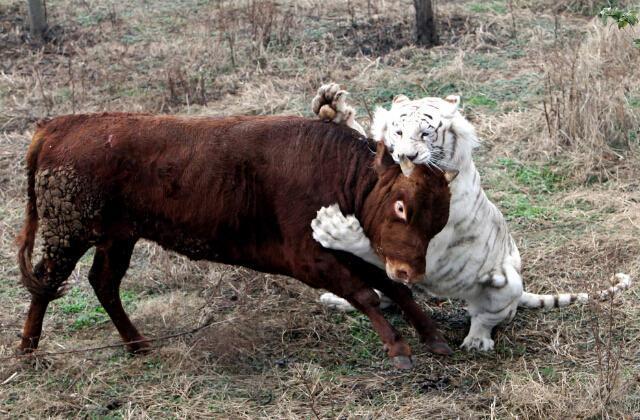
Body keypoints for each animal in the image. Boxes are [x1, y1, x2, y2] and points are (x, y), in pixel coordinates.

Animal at [16, 112, 456, 368]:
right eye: (401, 207)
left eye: (439, 219)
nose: (411, 270)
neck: (338, 172)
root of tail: (59, 126)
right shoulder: (307, 258)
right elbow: (366, 294)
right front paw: (398, 348)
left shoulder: (353, 252)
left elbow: (391, 289)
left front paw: (433, 337)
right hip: (67, 232)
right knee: (47, 281)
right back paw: (27, 350)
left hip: (117, 236)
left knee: (103, 282)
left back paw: (137, 344)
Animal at [308, 83, 632, 352]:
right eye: (398, 132)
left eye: (425, 133)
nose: (405, 157)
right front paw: (331, 103)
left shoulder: (427, 247)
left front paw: (332, 229)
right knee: (387, 293)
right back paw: (338, 301)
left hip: (506, 284)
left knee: (486, 317)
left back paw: (477, 341)